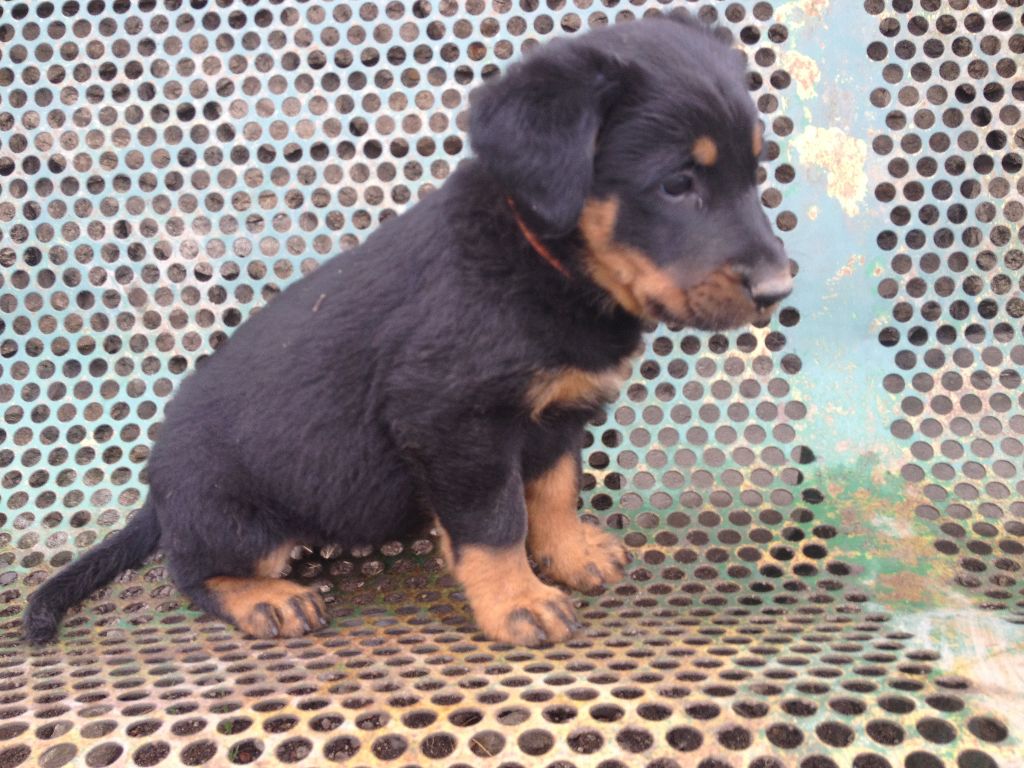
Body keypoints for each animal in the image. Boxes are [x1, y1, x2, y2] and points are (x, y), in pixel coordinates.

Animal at [24, 11, 792, 647]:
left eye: (755, 172)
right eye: (676, 184)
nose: (779, 290)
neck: (545, 264)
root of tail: (156, 496)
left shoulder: (558, 415)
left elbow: (553, 491)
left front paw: (571, 555)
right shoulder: (452, 424)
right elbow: (496, 523)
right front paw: (518, 603)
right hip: (233, 518)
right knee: (189, 572)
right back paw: (265, 599)